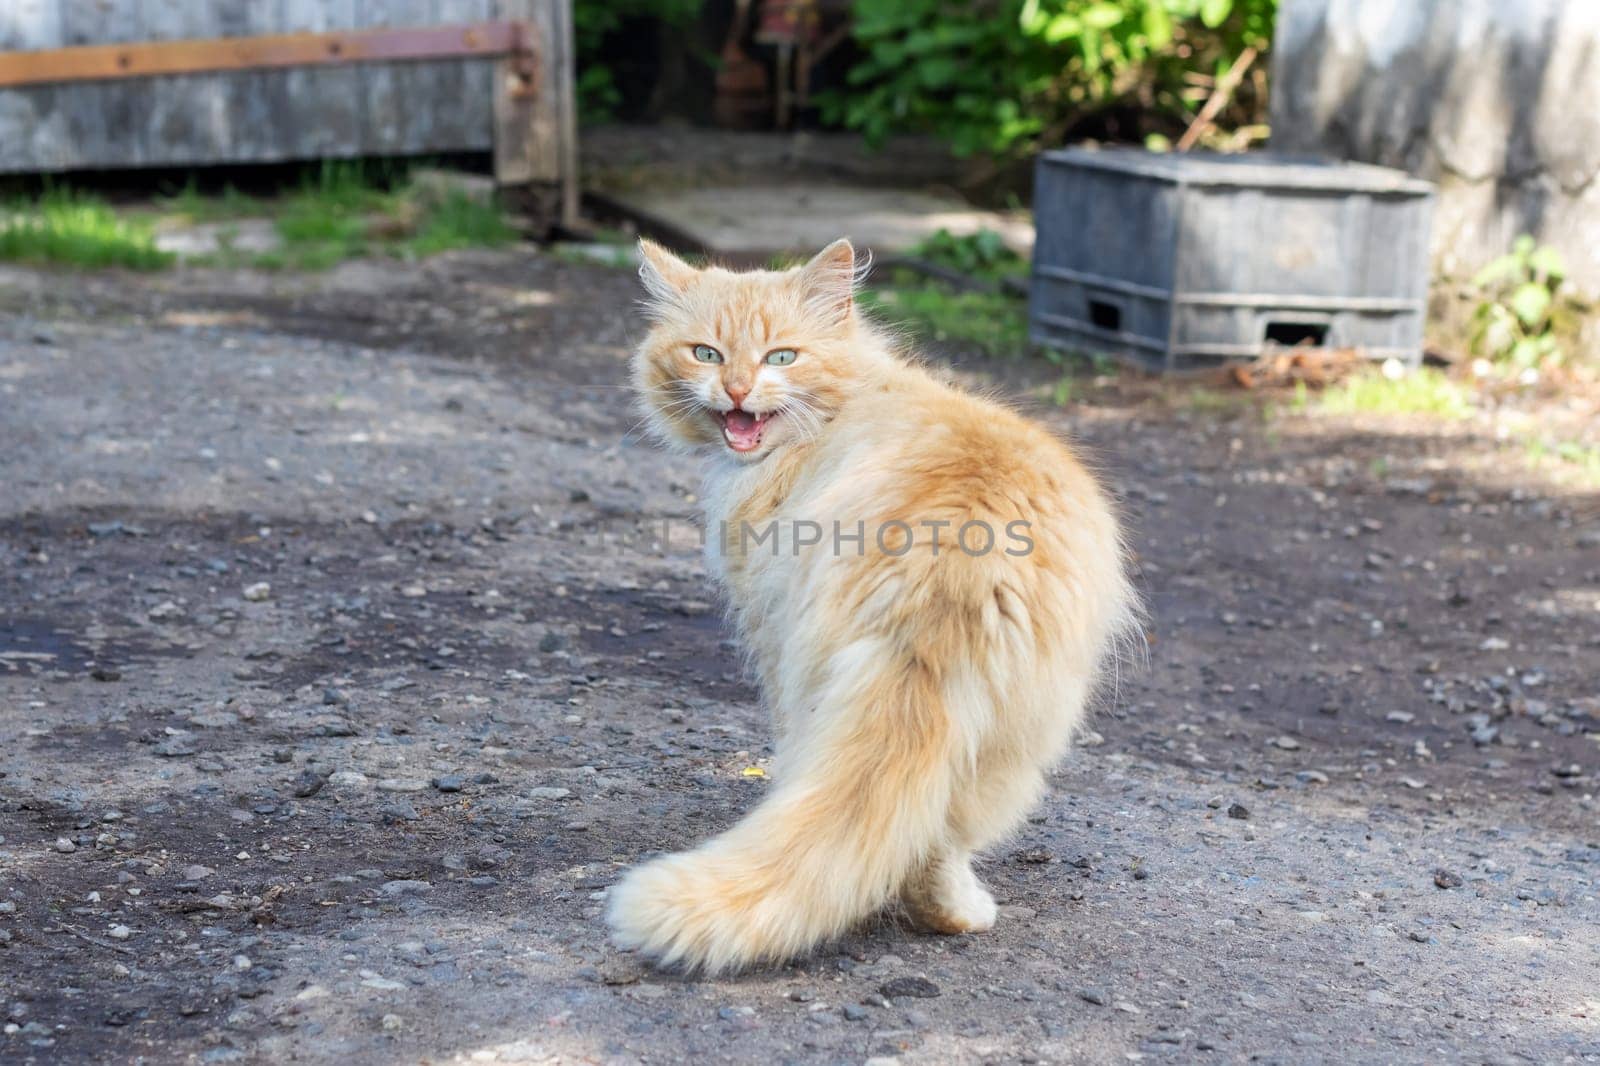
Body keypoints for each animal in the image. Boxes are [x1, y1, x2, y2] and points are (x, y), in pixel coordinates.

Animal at [601, 238, 1139, 973]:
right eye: (706, 353)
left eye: (781, 357)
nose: (737, 389)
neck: (849, 394)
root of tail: (952, 570)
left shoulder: (767, 625)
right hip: (1021, 735)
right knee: (938, 830)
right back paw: (956, 916)